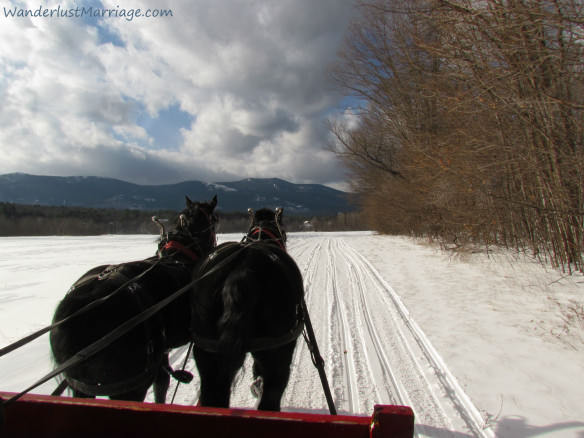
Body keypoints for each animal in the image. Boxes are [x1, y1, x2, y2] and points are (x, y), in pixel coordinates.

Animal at [49, 197, 218, 402]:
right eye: (215, 220)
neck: (180, 256)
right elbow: (162, 383)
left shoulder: (162, 352)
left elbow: (161, 384)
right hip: (130, 387)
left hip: (84, 387)